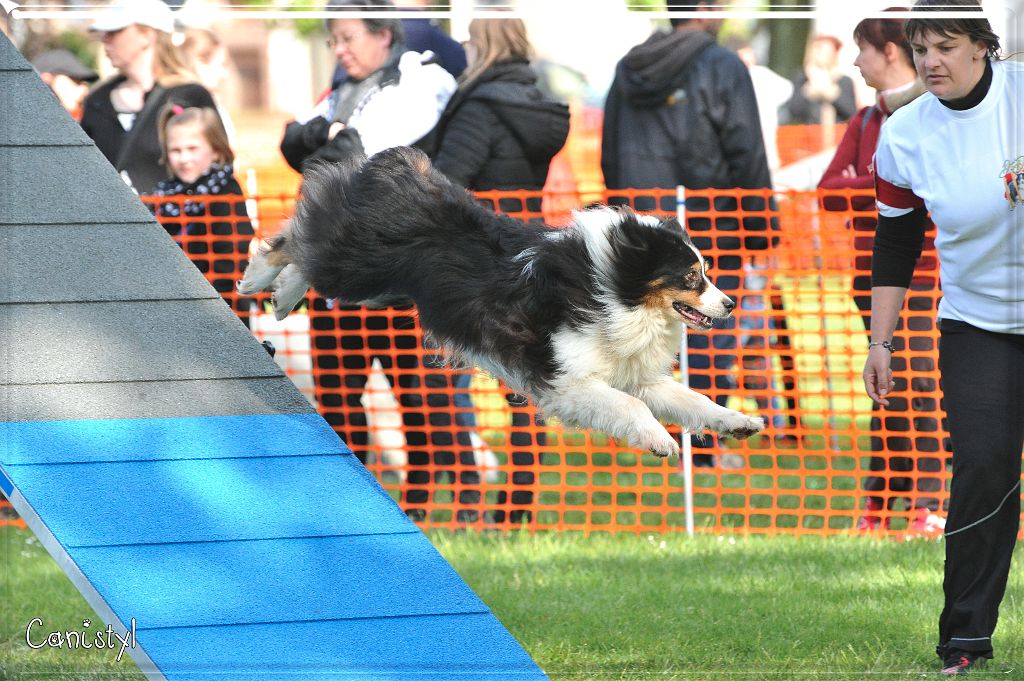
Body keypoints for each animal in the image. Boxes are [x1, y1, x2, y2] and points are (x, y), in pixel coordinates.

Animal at [239, 148, 765, 456]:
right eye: (692, 276)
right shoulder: (566, 381)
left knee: (308, 253)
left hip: (380, 285)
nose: (730, 304)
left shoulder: (630, 372)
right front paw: (660, 440)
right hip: (359, 266)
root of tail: (400, 167)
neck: (613, 286)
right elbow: (632, 407)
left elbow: (690, 399)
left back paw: (280, 297)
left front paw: (738, 422)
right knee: (300, 242)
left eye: (706, 271)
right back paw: (258, 280)